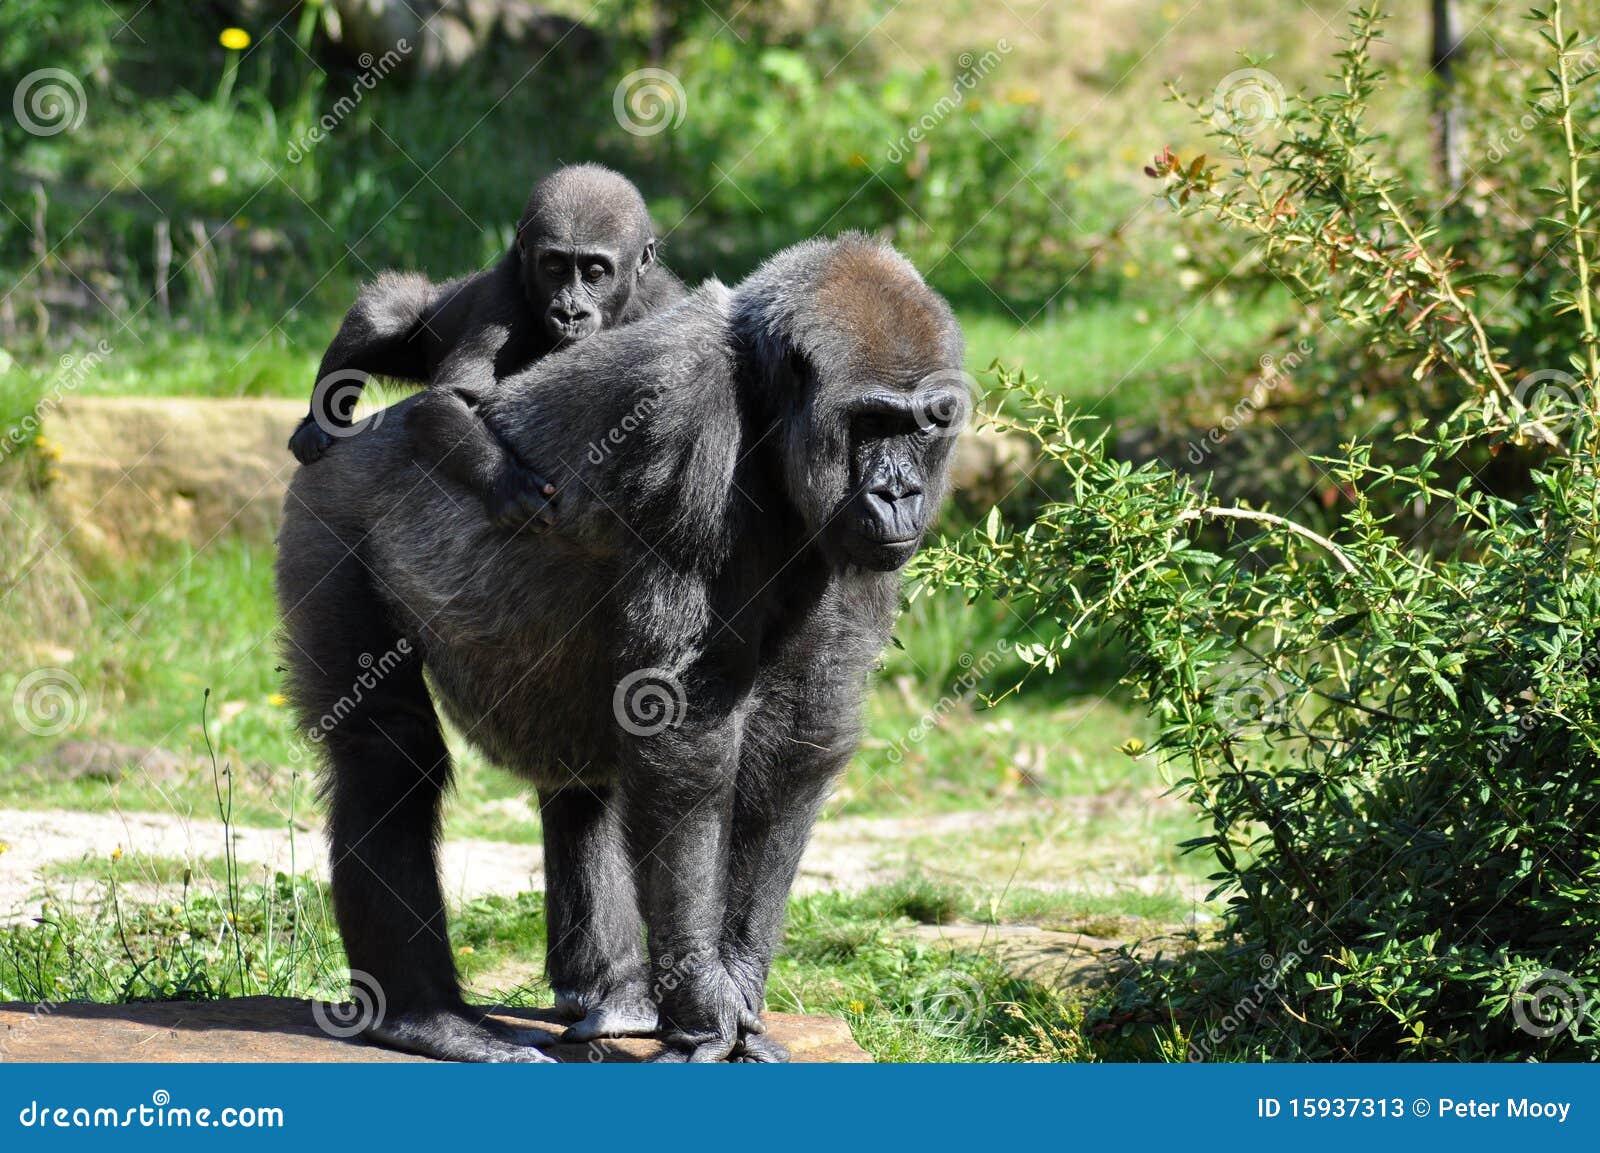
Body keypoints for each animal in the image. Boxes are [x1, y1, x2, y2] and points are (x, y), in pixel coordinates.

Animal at [276, 233, 968, 1062]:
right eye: (870, 421)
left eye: (927, 424)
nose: (901, 492)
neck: (765, 402)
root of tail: (353, 434)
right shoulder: (684, 437)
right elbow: (682, 734)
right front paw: (706, 997)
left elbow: (798, 739)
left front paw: (735, 977)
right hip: (329, 506)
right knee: (388, 751)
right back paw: (424, 1013)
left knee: (584, 775)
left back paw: (616, 998)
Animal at [286, 163, 685, 530]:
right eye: (554, 267)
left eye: (595, 273)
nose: (569, 313)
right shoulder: (503, 296)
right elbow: (448, 400)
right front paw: (504, 481)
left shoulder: (663, 303)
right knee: (380, 318)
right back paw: (316, 424)